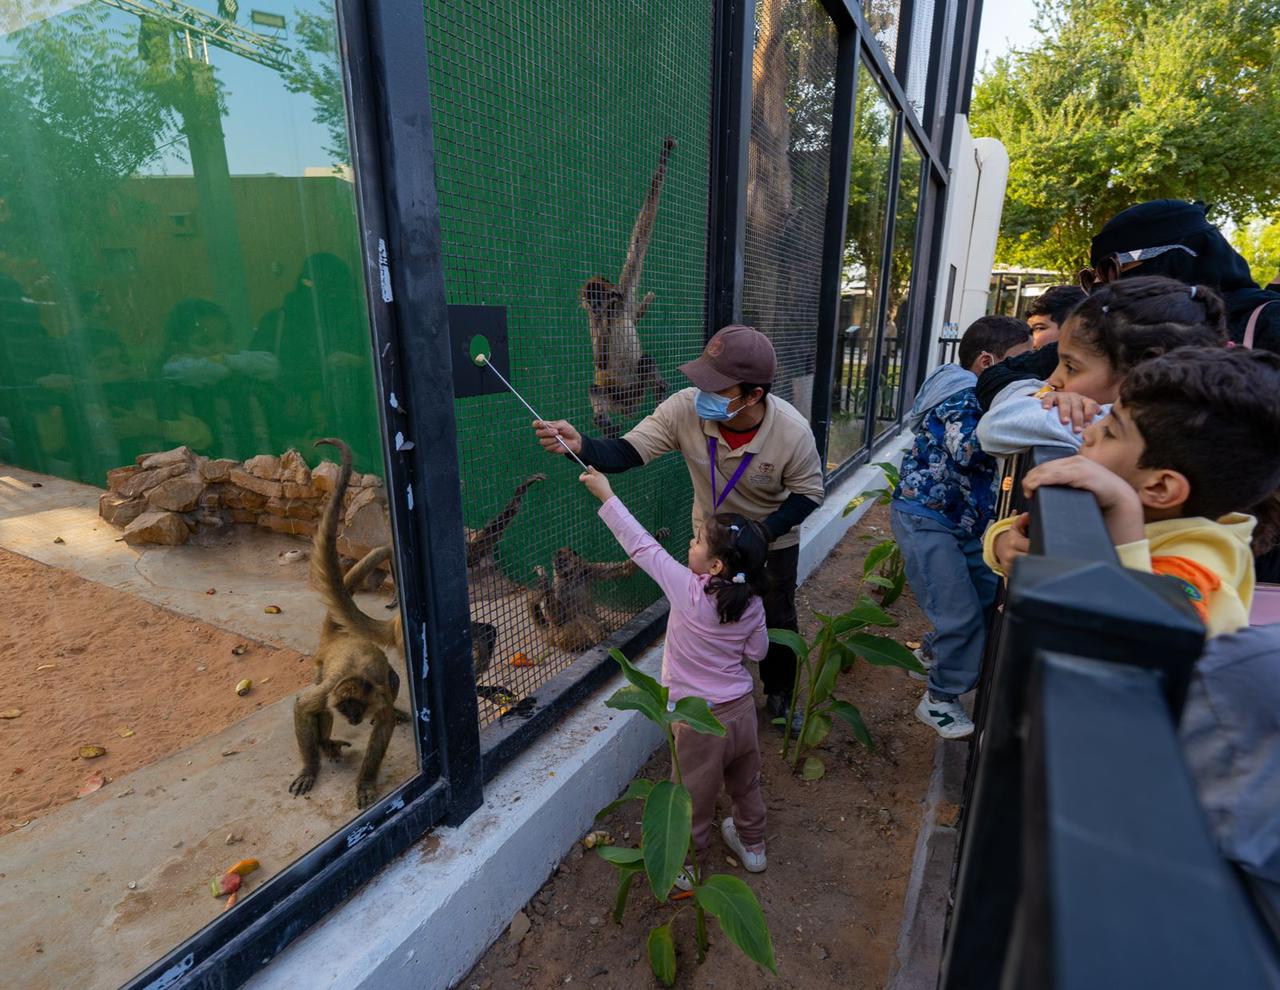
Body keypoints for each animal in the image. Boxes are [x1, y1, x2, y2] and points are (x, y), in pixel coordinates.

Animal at [289, 437, 400, 810]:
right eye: (346, 708)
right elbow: (303, 707)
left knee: (395, 681)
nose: (352, 719)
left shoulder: (375, 694)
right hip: (322, 670)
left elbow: (384, 724)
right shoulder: (329, 693)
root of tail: (336, 638)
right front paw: (310, 767)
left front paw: (364, 782)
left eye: (357, 708)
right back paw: (324, 745)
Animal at [581, 137, 675, 438]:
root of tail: (628, 407)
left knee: (646, 361)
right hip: (614, 395)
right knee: (596, 387)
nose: (597, 306)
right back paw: (605, 424)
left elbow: (639, 242)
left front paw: (664, 156)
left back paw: (659, 394)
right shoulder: (593, 318)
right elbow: (600, 363)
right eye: (591, 301)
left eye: (599, 297)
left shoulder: (625, 294)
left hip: (635, 389)